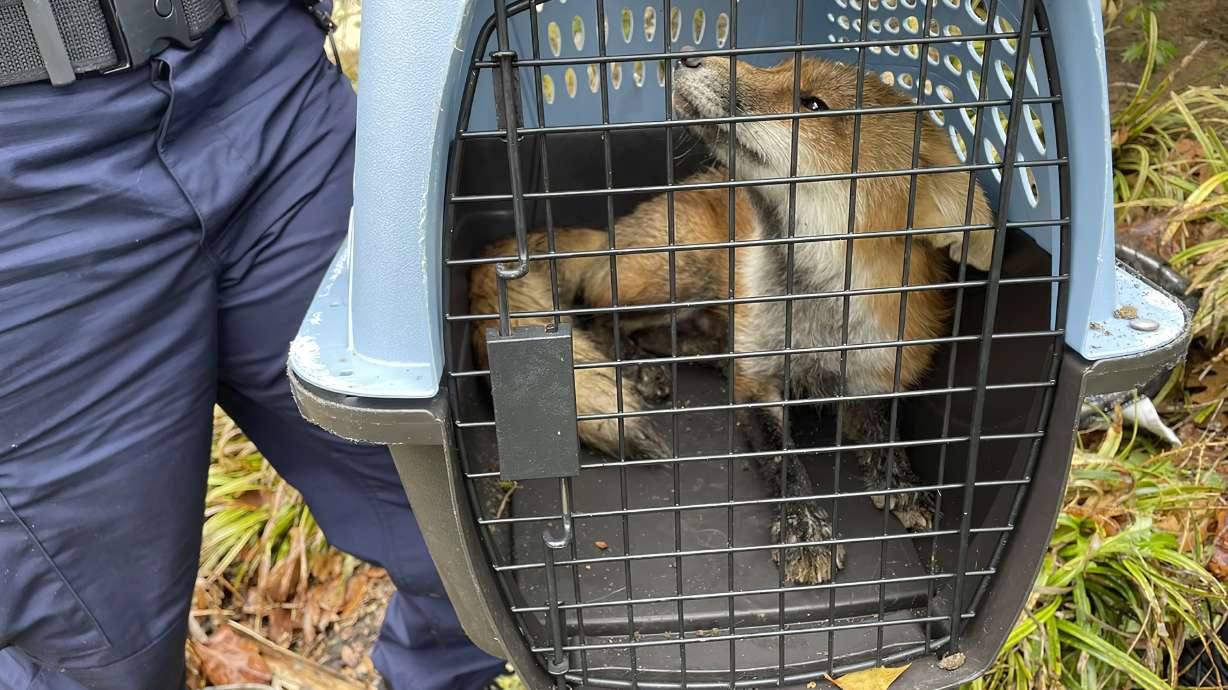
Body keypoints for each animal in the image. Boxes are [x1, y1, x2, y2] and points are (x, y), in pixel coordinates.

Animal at [469, 55, 995, 584]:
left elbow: (887, 433)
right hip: (683, 272)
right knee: (597, 315)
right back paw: (640, 369)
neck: (815, 321)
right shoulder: (757, 383)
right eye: (778, 64)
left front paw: (903, 480)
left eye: (813, 105)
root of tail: (613, 233)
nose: (689, 55)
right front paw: (804, 526)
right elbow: (784, 459)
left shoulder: (873, 374)